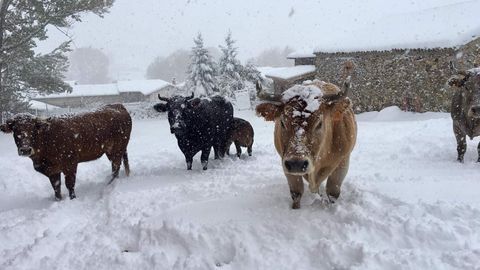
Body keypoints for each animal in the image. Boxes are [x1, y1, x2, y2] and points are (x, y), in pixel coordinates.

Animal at [0, 104, 132, 199]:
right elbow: (56, 188)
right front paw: (58, 200)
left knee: (116, 167)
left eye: (33, 128)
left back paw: (109, 185)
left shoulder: (70, 164)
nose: (25, 149)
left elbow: (70, 185)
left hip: (117, 149)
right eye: (15, 130)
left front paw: (72, 198)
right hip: (112, 150)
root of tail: (117, 105)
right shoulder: (52, 171)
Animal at [258, 78, 356, 209]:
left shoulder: (343, 162)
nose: (297, 163)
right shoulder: (286, 164)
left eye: (319, 123)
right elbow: (296, 192)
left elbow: (332, 192)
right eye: (282, 122)